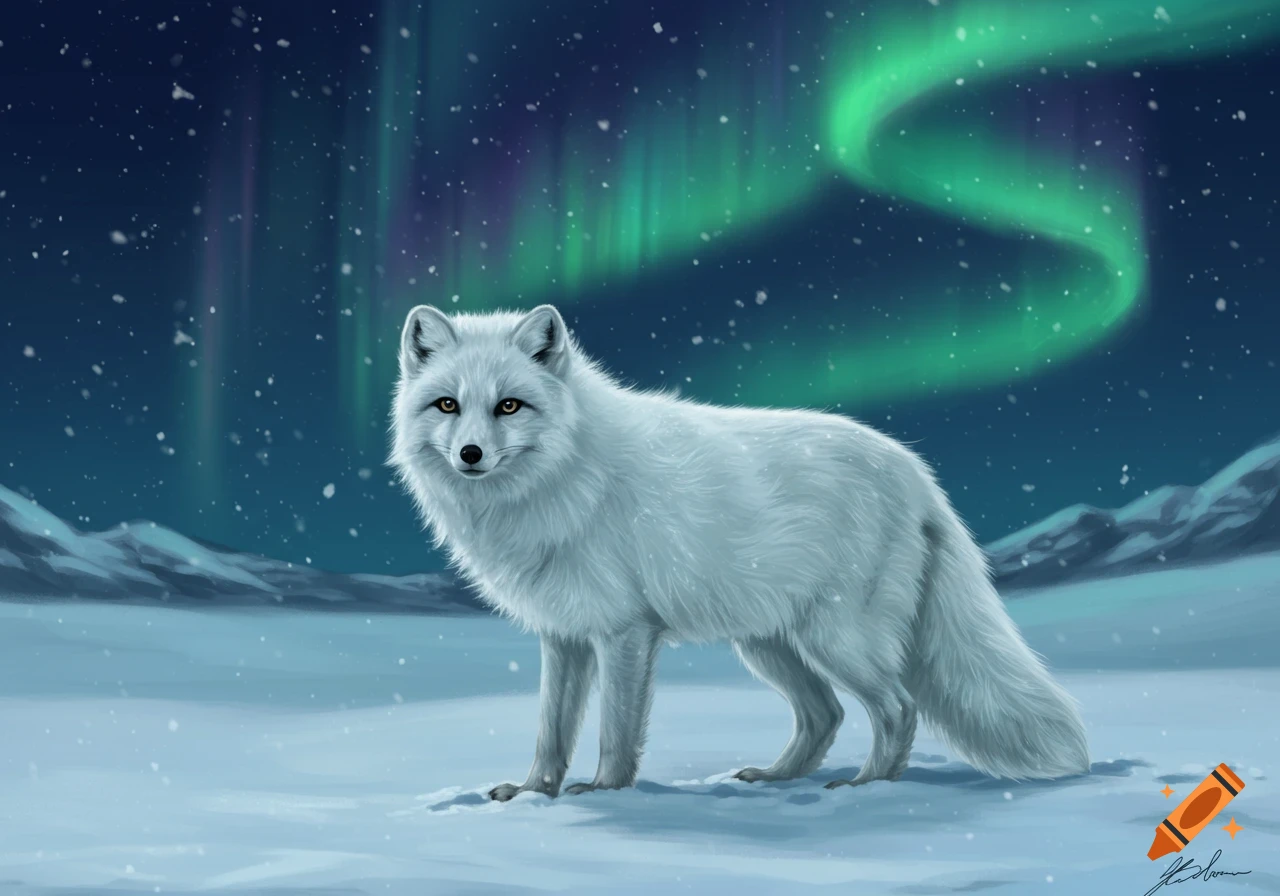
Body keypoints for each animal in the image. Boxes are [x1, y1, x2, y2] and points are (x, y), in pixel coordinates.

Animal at [389, 303, 1090, 801]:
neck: (561, 478)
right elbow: (550, 729)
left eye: (509, 405)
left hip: (837, 639)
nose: (470, 455)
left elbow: (616, 730)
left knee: (896, 708)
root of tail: (918, 474)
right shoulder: (562, 633)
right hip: (769, 644)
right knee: (825, 714)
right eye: (448, 404)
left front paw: (607, 793)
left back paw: (867, 788)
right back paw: (779, 779)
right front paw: (536, 793)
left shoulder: (625, 632)